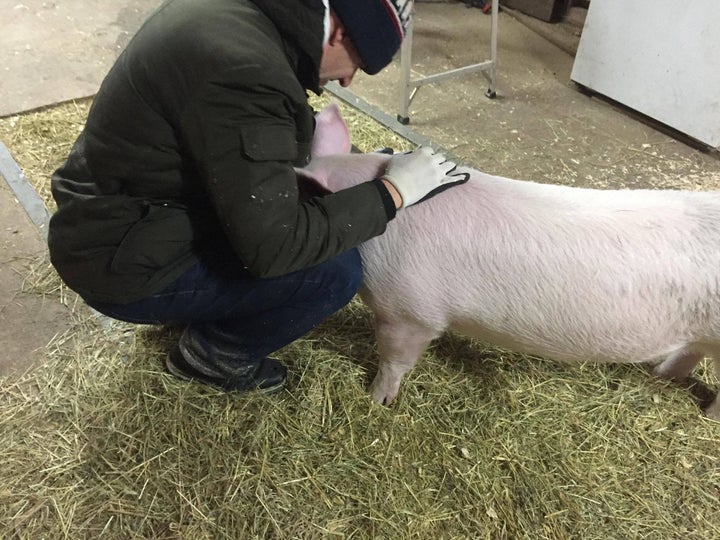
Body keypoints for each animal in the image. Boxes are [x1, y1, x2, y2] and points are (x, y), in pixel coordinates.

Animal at [302, 104, 720, 418]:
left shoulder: (409, 312)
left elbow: (395, 359)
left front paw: (376, 400)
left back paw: (705, 414)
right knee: (689, 352)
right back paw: (660, 375)